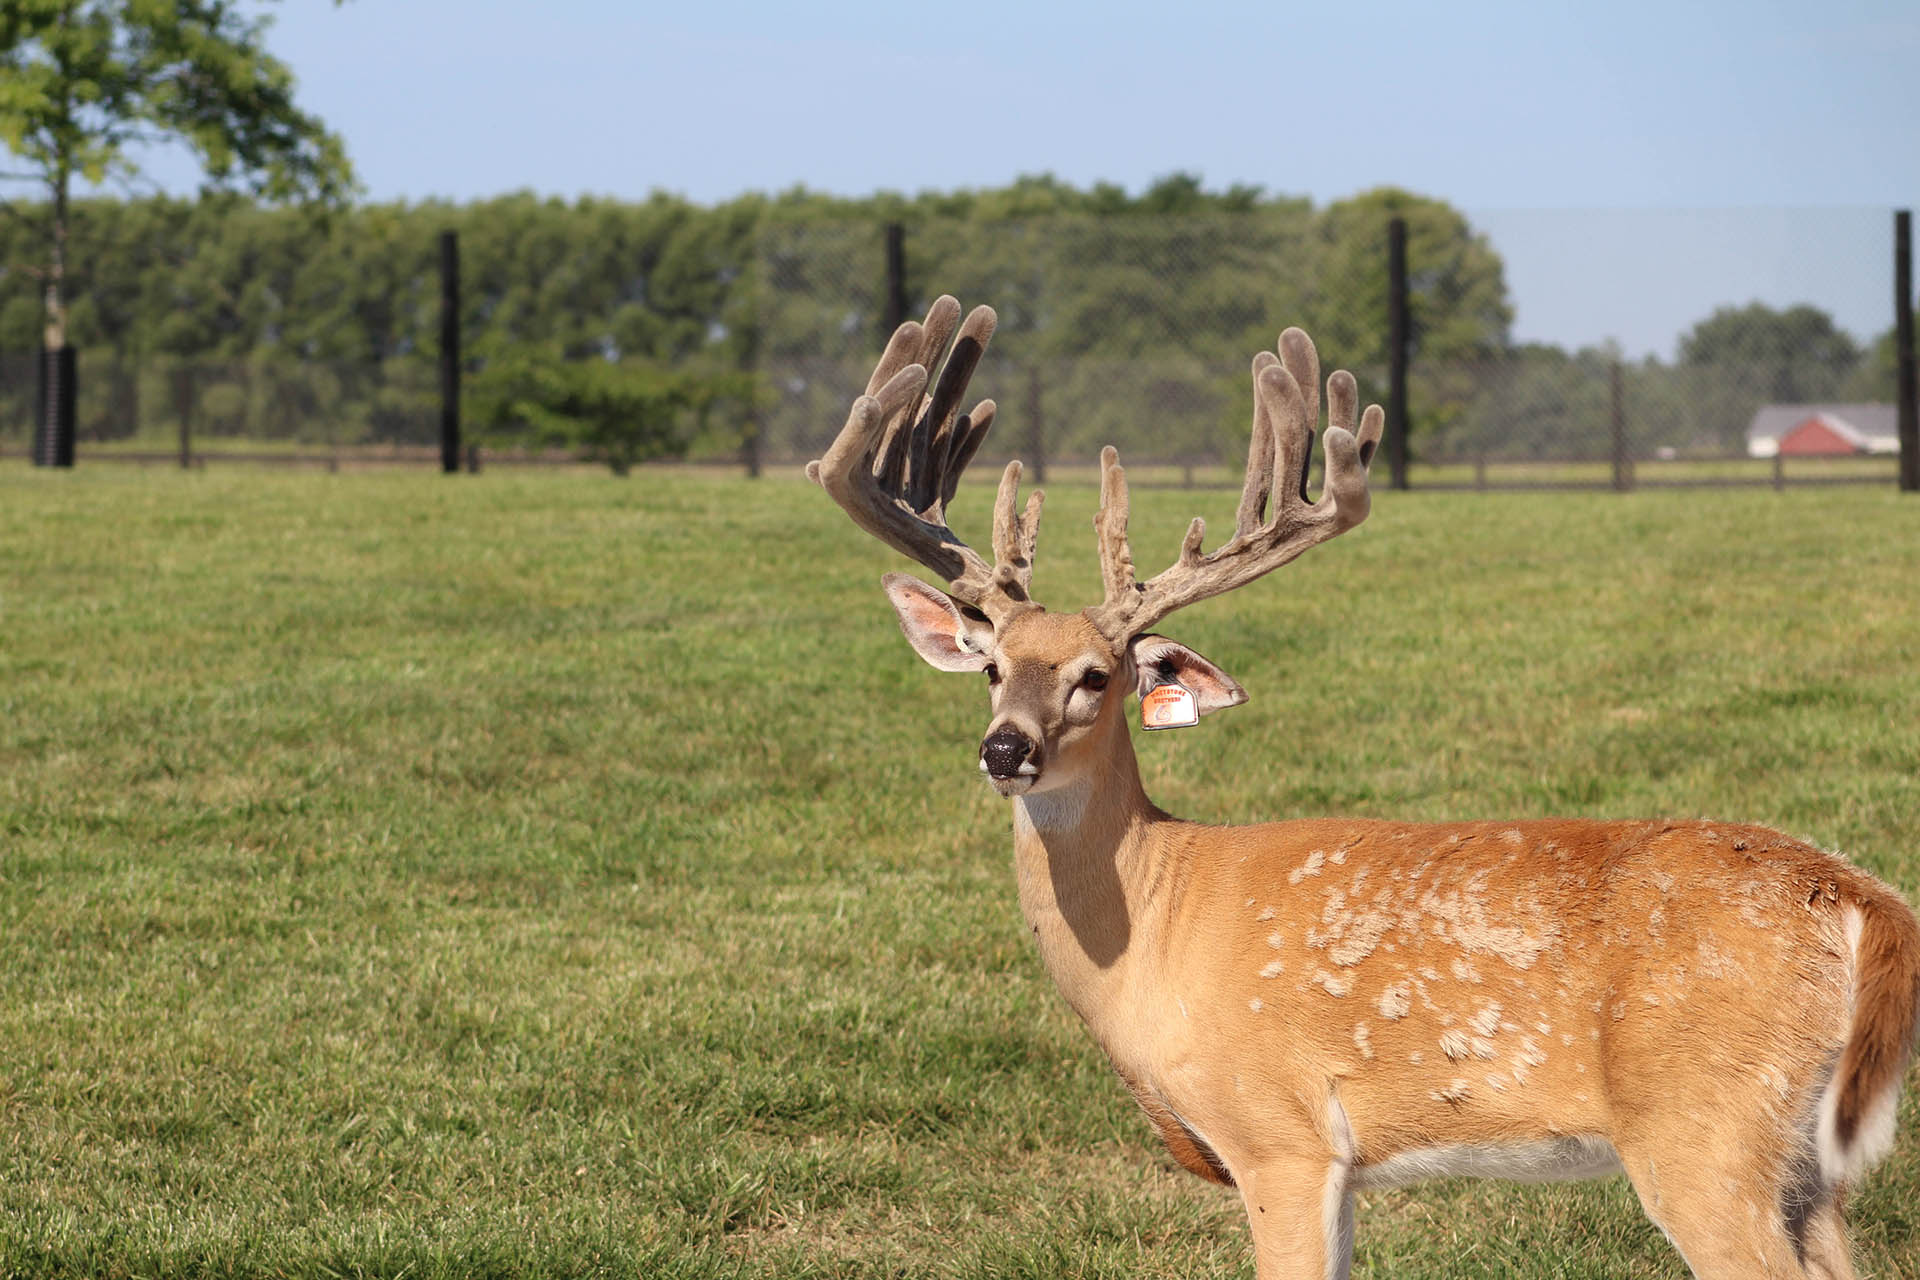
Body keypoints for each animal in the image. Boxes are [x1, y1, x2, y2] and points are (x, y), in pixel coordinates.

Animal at [805, 295, 1920, 1280]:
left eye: (1096, 675)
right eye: (993, 667)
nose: (1006, 750)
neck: (1156, 922)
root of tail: (1863, 899)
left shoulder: (1280, 1132)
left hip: (1704, 1127)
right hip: (1803, 1159)